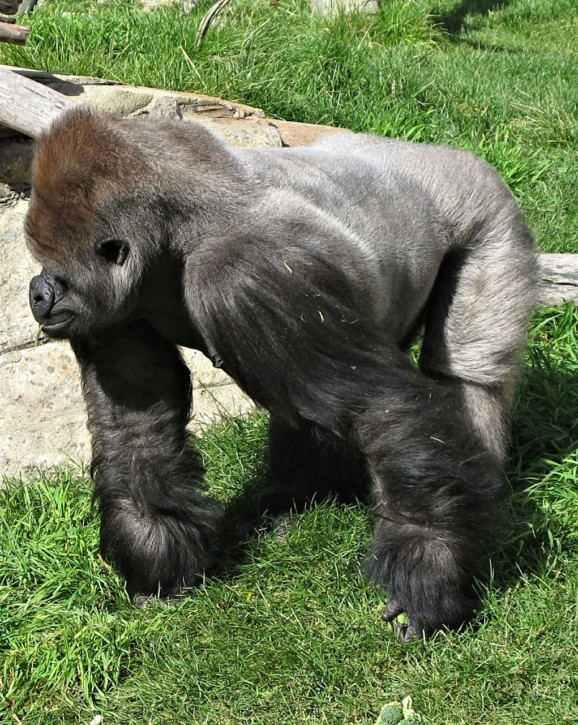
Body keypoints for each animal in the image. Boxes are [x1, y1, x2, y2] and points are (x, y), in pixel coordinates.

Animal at [26, 108, 537, 640]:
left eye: (58, 275)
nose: (37, 292)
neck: (175, 233)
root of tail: (450, 155)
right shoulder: (118, 309)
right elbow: (136, 423)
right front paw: (157, 559)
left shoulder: (250, 271)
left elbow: (381, 407)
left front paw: (430, 569)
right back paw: (295, 499)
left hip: (490, 211)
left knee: (468, 377)